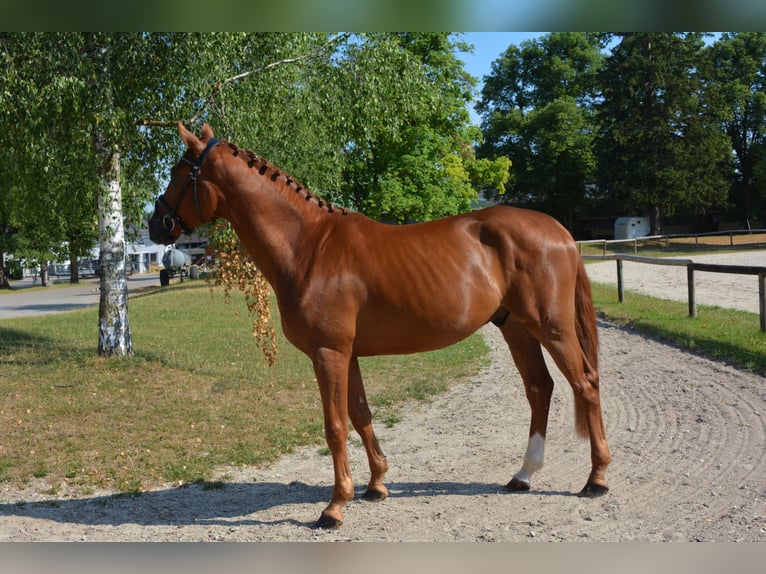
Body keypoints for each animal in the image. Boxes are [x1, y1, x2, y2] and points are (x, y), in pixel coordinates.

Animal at [149, 122, 611, 529]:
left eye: (178, 173)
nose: (156, 225)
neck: (308, 246)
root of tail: (559, 230)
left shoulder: (328, 353)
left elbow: (335, 426)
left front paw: (335, 506)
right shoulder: (346, 354)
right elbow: (360, 414)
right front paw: (376, 485)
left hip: (551, 327)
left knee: (584, 384)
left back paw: (597, 479)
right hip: (516, 328)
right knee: (540, 389)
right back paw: (524, 475)